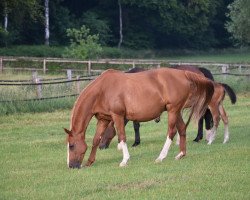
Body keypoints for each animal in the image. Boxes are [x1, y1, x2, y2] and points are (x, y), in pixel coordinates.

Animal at [64, 68, 213, 168]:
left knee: (171, 132)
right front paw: (90, 162)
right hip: (176, 112)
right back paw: (180, 154)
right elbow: (96, 140)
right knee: (182, 129)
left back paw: (160, 157)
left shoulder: (117, 116)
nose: (71, 166)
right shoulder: (103, 119)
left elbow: (122, 136)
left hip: (173, 110)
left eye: (71, 145)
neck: (102, 90)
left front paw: (124, 160)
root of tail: (184, 73)